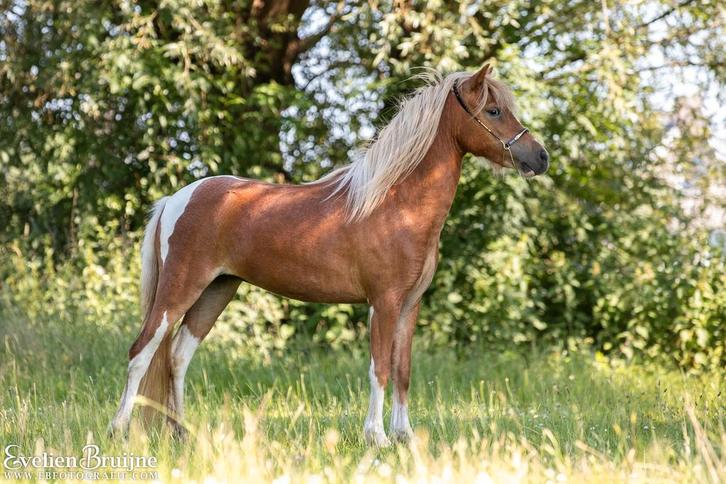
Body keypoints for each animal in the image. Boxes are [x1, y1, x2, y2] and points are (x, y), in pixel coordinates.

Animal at [108, 63, 549, 446]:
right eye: (493, 111)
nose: (540, 157)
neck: (396, 204)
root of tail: (175, 198)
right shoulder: (384, 303)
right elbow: (379, 368)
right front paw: (377, 437)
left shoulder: (410, 306)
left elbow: (403, 369)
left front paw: (405, 436)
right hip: (179, 289)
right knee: (141, 352)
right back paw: (119, 430)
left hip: (216, 291)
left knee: (178, 358)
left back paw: (182, 434)